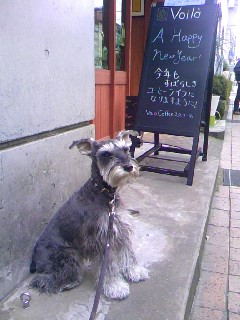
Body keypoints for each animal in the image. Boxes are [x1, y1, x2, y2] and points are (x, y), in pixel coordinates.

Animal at [29, 130, 148, 300]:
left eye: (125, 150)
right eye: (106, 154)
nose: (129, 166)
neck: (105, 194)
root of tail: (34, 259)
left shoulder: (120, 230)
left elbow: (127, 253)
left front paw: (135, 271)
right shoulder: (101, 239)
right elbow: (108, 266)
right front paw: (115, 286)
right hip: (68, 255)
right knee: (44, 280)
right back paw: (67, 282)